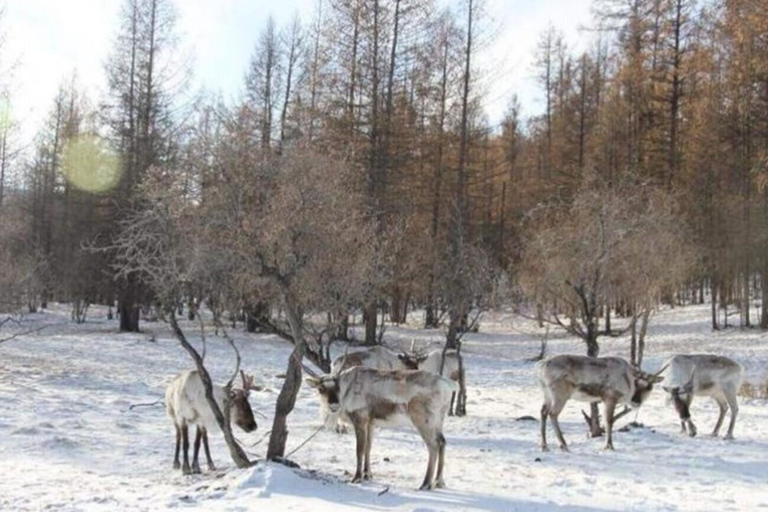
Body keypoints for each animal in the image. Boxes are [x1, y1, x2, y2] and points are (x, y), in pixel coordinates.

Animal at [304, 362, 457, 490]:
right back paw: (439, 481)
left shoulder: (360, 420)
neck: (346, 391)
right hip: (439, 420)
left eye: (337, 387)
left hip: (424, 421)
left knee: (433, 445)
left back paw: (426, 483)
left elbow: (359, 450)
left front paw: (357, 477)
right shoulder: (371, 423)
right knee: (443, 441)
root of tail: (448, 385)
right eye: (321, 388)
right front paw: (367, 475)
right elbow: (368, 448)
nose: (334, 405)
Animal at [537, 354, 667, 451]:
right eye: (636, 382)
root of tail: (542, 366)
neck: (627, 378)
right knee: (552, 413)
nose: (636, 401)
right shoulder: (610, 397)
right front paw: (609, 446)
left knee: (543, 411)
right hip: (560, 394)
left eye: (650, 386)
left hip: (546, 393)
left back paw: (544, 445)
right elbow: (609, 421)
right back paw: (563, 444)